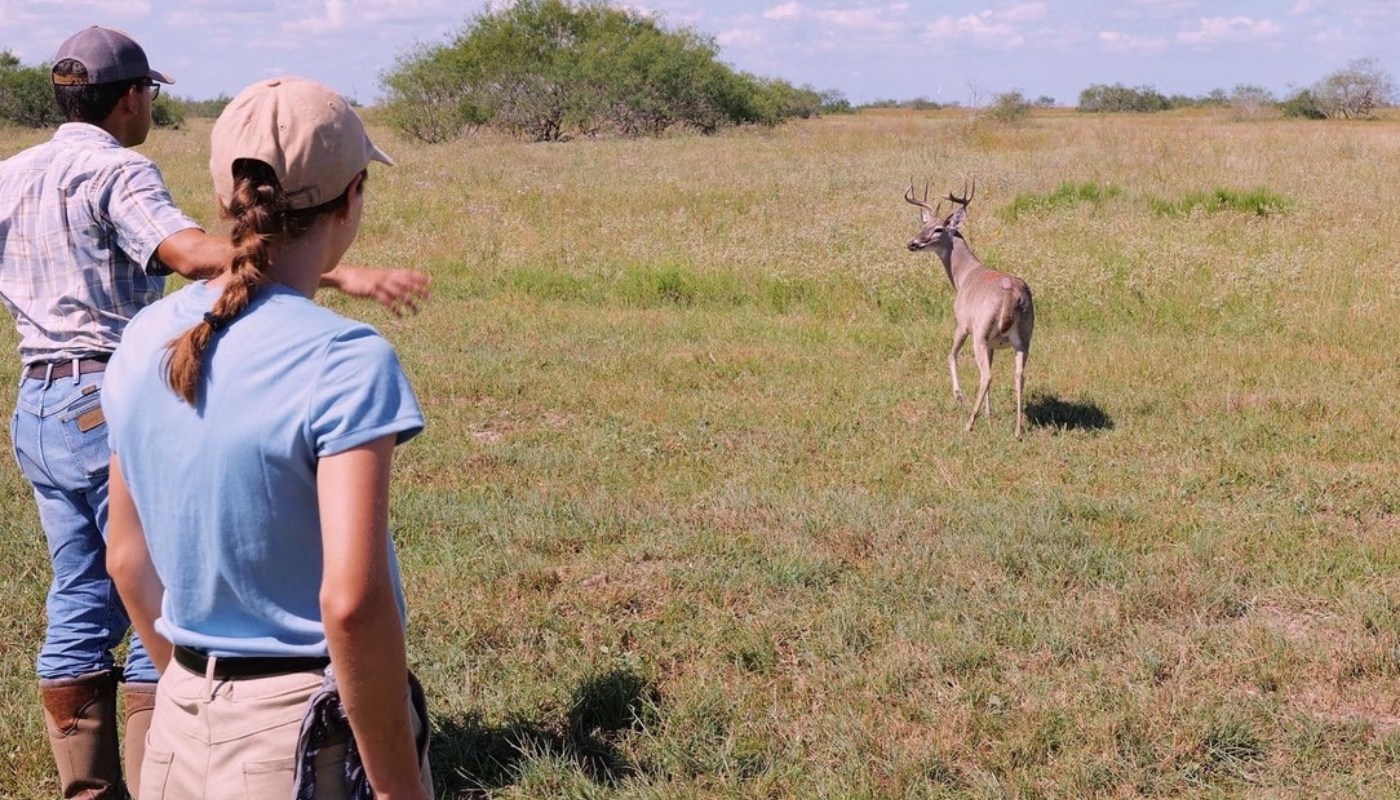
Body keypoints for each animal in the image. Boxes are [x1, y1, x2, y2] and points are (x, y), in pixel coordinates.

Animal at [901, 179, 1036, 437]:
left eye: (938, 229)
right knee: (1019, 375)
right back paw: (1017, 430)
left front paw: (958, 395)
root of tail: (1012, 296)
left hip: (980, 333)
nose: (912, 243)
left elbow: (950, 355)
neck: (964, 276)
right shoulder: (994, 343)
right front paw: (990, 412)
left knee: (986, 375)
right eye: (924, 224)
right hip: (1024, 337)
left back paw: (969, 424)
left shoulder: (962, 323)